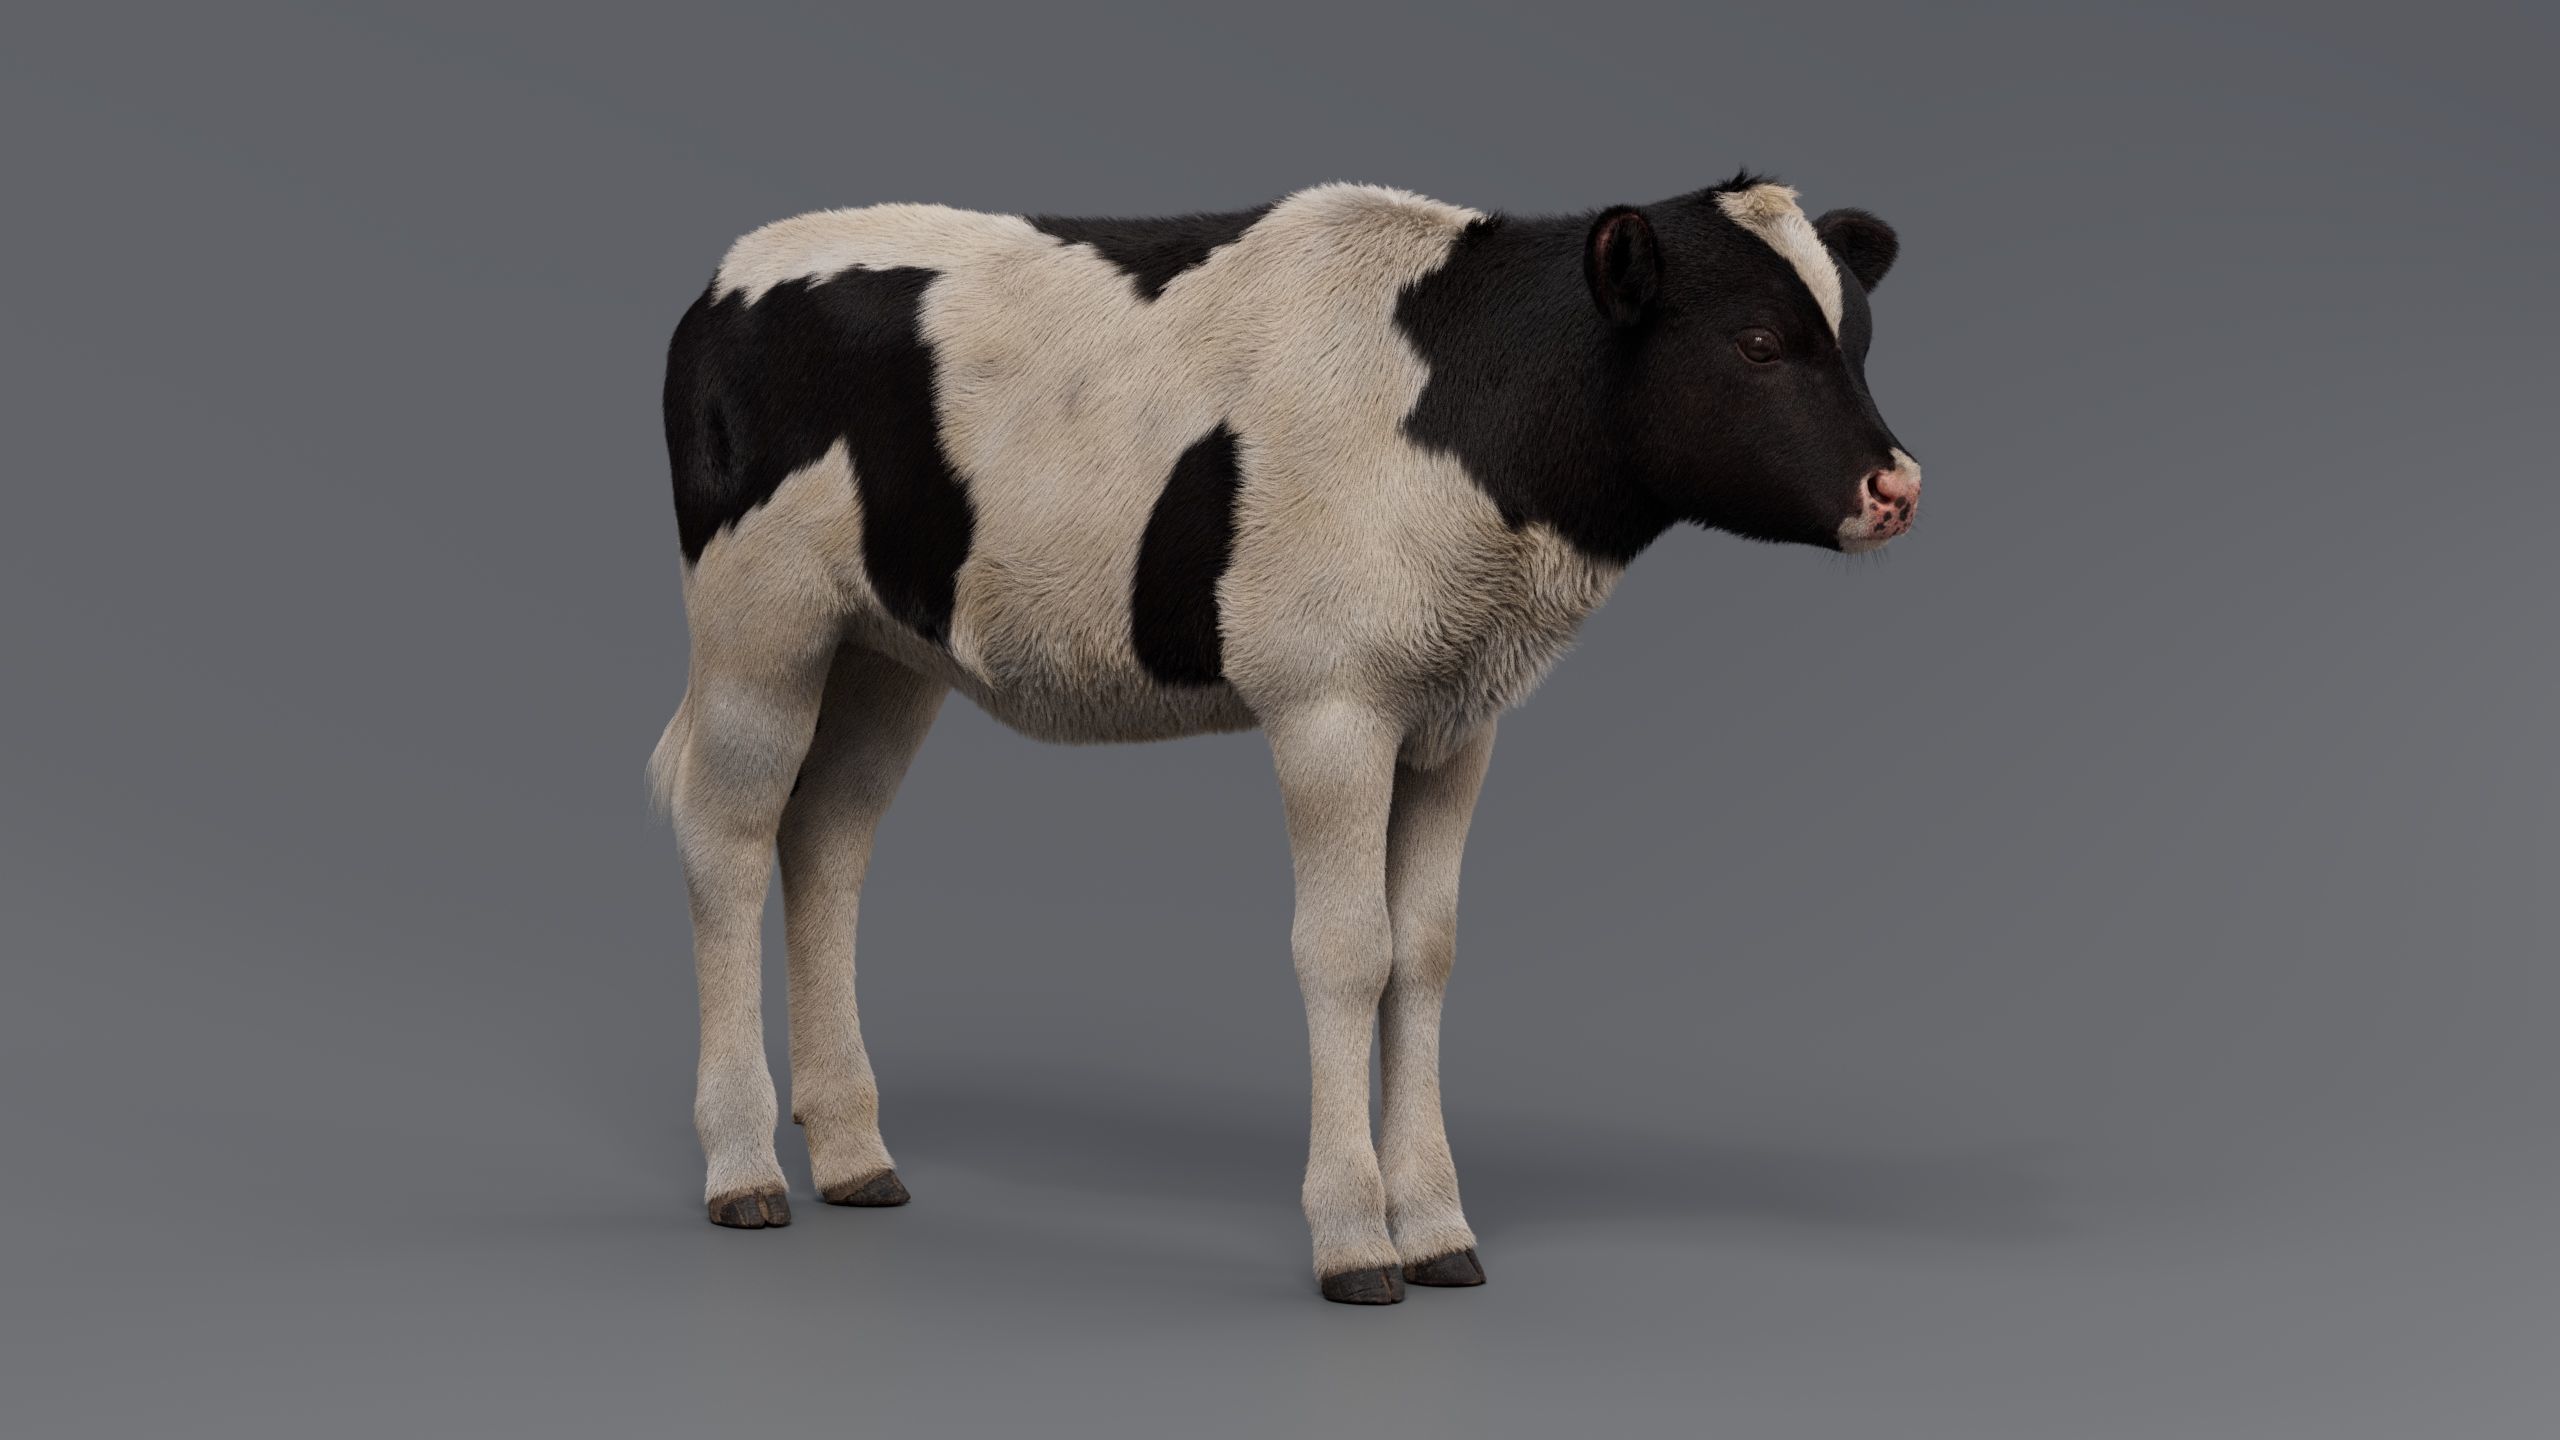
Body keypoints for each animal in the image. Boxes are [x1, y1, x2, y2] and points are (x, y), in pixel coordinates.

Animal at [648, 172, 1918, 1303]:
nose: (1896, 486)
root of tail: (728, 273)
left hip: (885, 650)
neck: (1467, 395)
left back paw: (855, 1155)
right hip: (759, 620)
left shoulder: (1457, 715)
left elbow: (1426, 953)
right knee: (727, 837)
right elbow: (1348, 951)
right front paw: (1356, 1240)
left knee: (826, 836)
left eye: (1858, 339)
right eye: (1758, 342)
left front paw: (1439, 1231)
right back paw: (745, 1171)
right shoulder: (1331, 702)